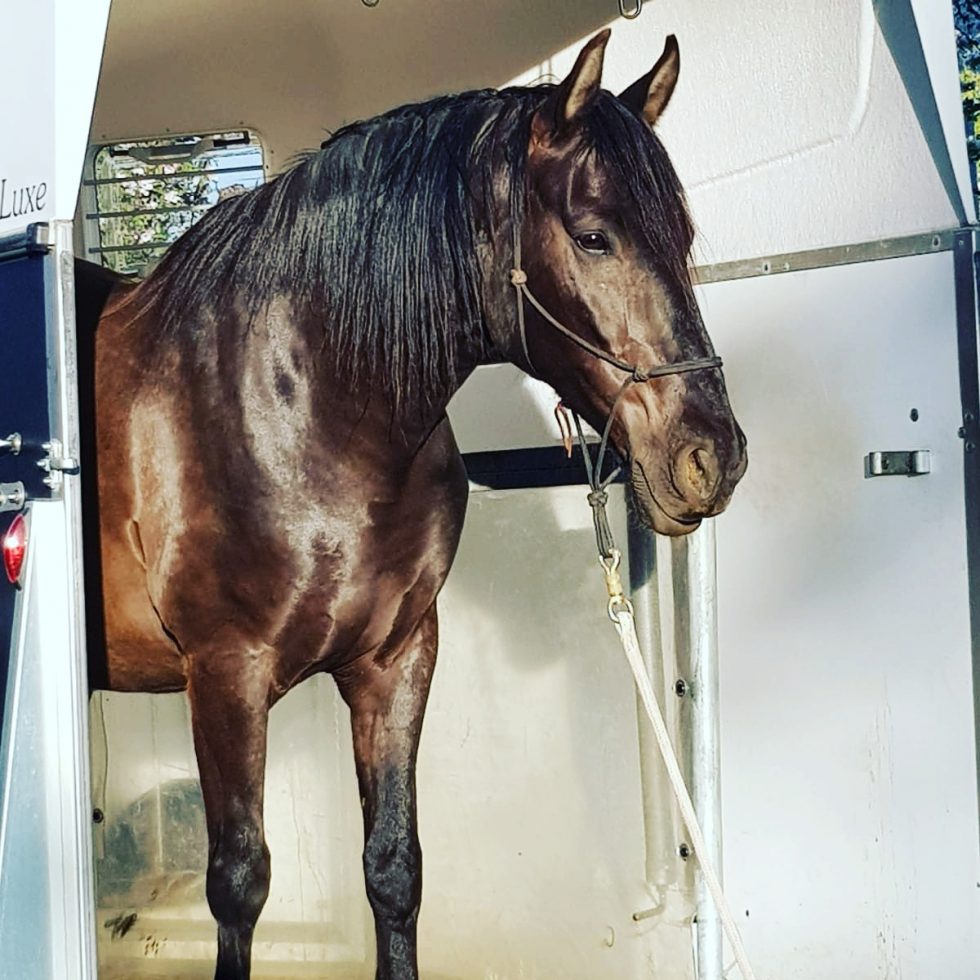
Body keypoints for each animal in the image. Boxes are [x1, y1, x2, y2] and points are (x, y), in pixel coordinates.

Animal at [89, 29, 747, 980]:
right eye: (594, 237)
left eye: (683, 235)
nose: (712, 457)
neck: (299, 404)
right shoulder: (224, 674)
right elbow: (239, 887)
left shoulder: (395, 662)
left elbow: (394, 869)